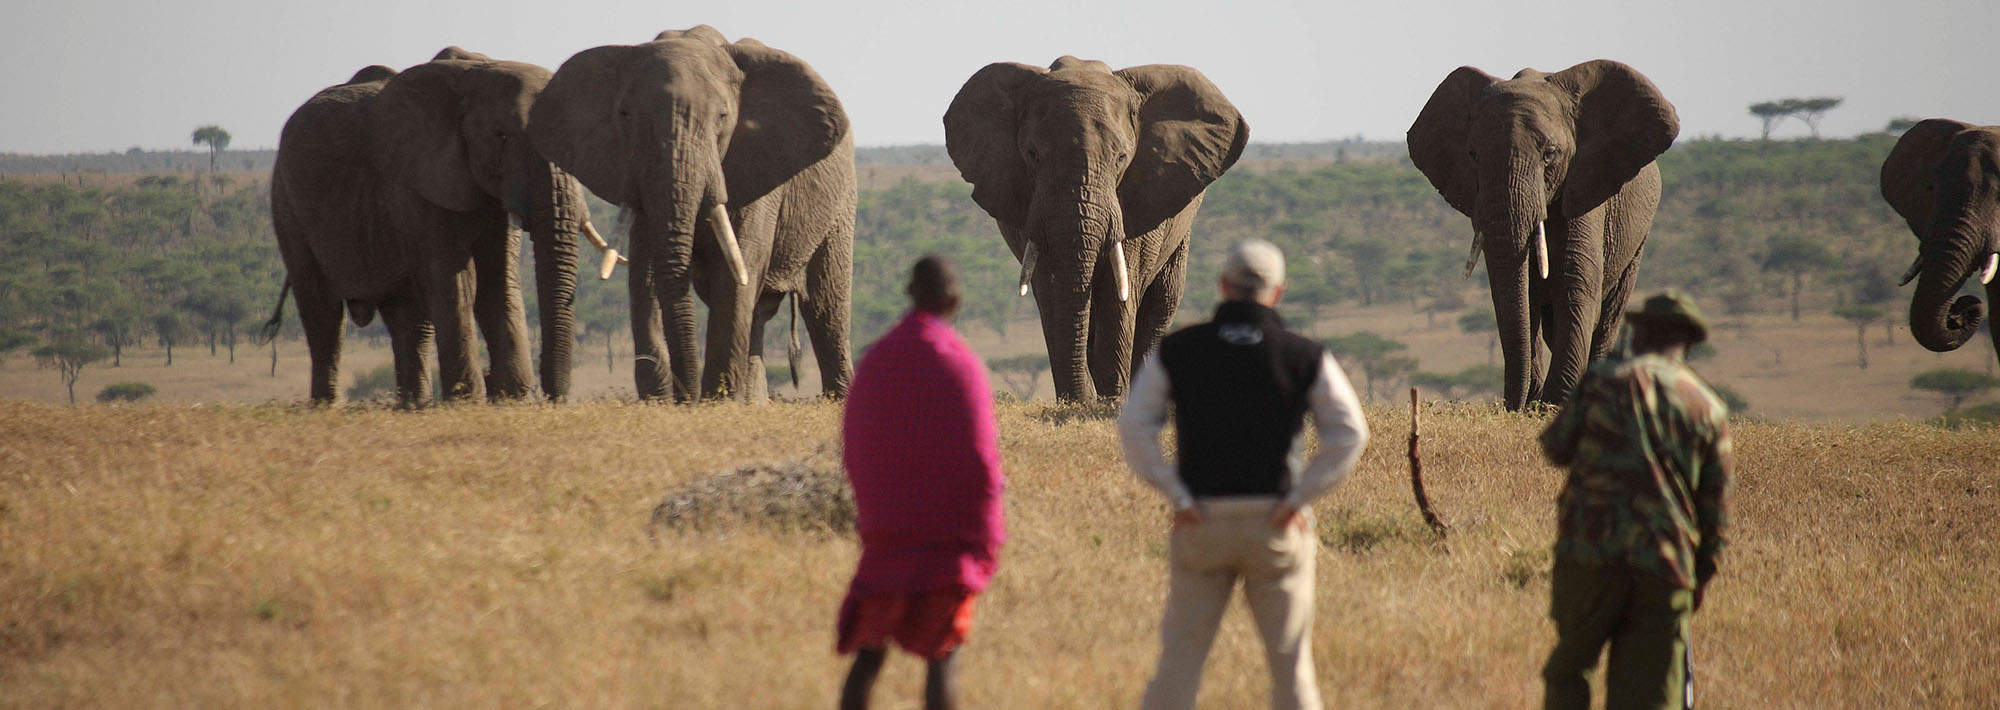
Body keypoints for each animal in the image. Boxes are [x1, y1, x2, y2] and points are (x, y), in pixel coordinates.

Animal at [270, 48, 616, 406]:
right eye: (501, 136)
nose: (553, 398)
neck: (472, 74)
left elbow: (498, 278)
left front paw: (508, 397)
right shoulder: (416, 181)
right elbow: (456, 279)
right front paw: (471, 400)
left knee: (408, 316)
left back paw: (414, 406)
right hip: (286, 204)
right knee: (321, 310)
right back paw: (328, 406)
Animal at [532, 26, 852, 406]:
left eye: (722, 117)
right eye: (624, 115)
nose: (686, 397)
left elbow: (736, 271)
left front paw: (716, 402)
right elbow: (645, 273)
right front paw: (658, 401)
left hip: (839, 203)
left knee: (824, 308)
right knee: (761, 313)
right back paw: (753, 402)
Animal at [940, 55, 1248, 400]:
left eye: (1121, 158)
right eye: (1032, 154)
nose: (1082, 398)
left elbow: (1120, 291)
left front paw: (1111, 400)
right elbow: (1052, 289)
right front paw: (1081, 401)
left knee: (1162, 299)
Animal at [1408, 64, 1688, 414]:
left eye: (1550, 155)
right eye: (1473, 155)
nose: (1510, 407)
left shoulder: (1585, 187)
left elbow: (1576, 284)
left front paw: (1554, 405)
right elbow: (1514, 292)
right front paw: (1539, 404)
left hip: (1638, 240)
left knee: (1607, 317)